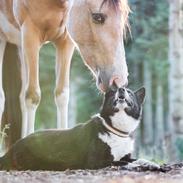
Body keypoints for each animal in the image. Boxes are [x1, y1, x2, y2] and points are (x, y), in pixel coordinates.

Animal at [0, 0, 130, 137]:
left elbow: (62, 95)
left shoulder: (65, 41)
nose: (119, 81)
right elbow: (33, 96)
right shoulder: (30, 36)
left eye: (125, 16)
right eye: (97, 17)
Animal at [0, 85, 150, 170]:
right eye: (113, 93)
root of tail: (13, 147)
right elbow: (122, 163)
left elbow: (137, 159)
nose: (121, 89)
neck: (114, 128)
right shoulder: (96, 162)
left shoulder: (126, 156)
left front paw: (150, 164)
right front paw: (138, 166)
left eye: (130, 92)